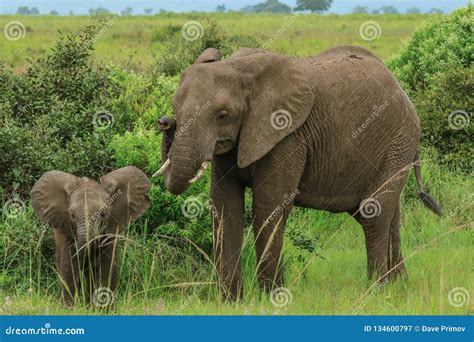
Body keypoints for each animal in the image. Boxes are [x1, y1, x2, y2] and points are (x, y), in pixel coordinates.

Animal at [155, 46, 440, 300]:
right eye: (175, 106)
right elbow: (225, 207)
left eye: (223, 114)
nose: (165, 122)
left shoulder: (287, 135)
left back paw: (376, 292)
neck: (241, 69)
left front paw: (272, 300)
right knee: (386, 214)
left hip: (398, 141)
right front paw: (231, 303)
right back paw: (399, 287)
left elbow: (268, 207)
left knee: (374, 213)